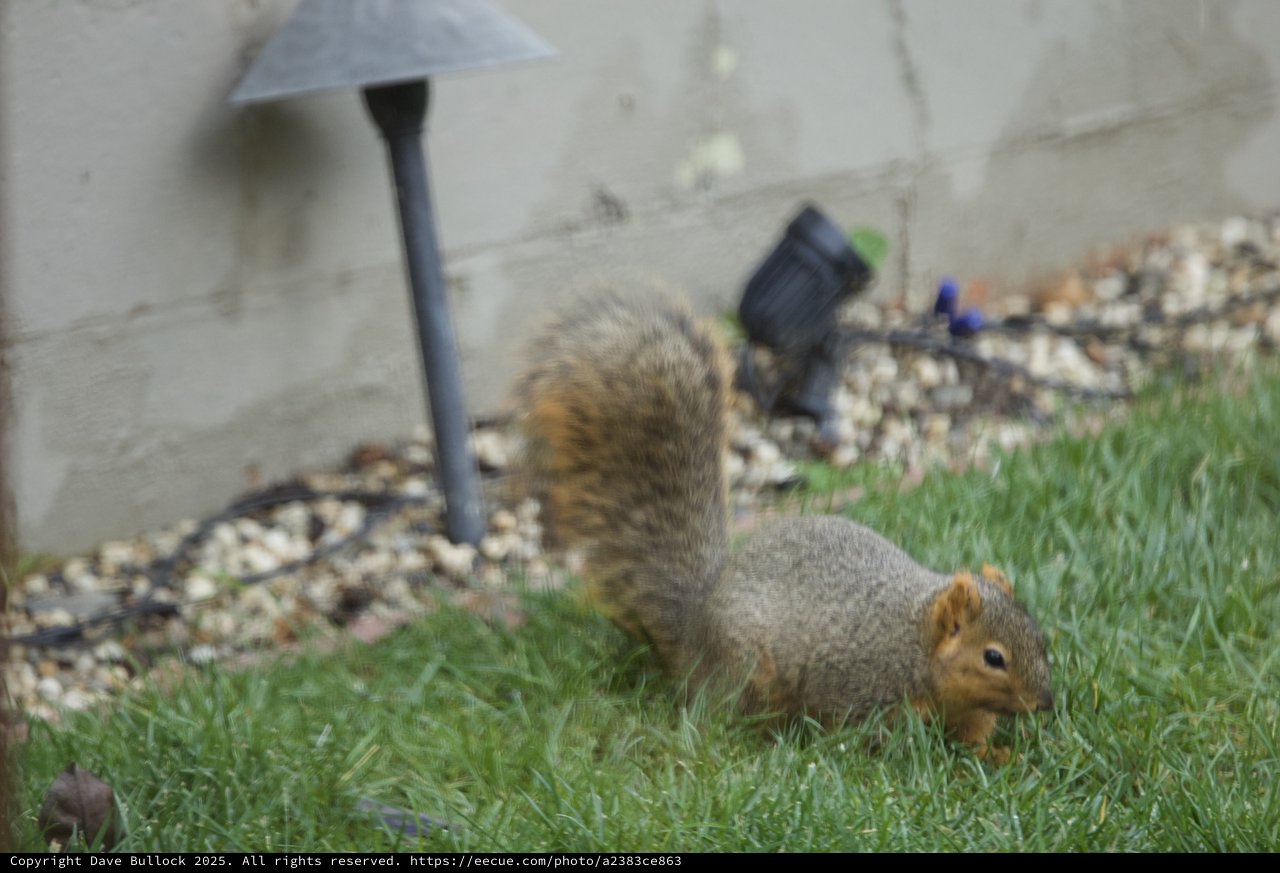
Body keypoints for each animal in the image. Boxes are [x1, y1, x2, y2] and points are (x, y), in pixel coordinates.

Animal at [520, 296, 1053, 756]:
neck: (915, 641)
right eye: (993, 657)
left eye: (1037, 634)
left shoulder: (966, 711)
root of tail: (697, 631)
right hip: (750, 670)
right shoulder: (863, 688)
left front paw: (1002, 756)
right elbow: (877, 740)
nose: (1044, 703)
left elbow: (974, 735)